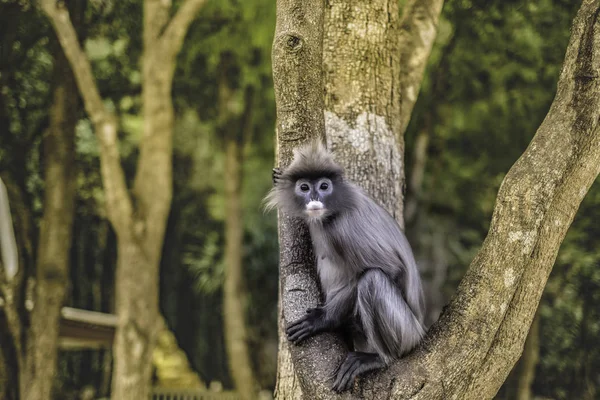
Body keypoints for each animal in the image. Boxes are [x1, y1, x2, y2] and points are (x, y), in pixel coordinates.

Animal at [264, 141, 426, 394]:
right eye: (304, 187)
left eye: (324, 186)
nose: (314, 197)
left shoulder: (344, 227)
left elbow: (393, 269)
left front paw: (323, 319)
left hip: (408, 332)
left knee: (372, 279)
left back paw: (379, 358)